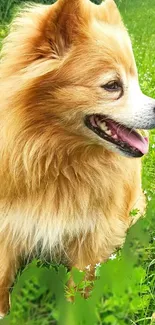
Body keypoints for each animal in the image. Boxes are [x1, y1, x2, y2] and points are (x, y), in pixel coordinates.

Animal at [0, 0, 155, 316]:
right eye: (113, 85)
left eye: (134, 80)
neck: (57, 158)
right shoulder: (8, 228)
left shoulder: (91, 239)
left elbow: (78, 292)